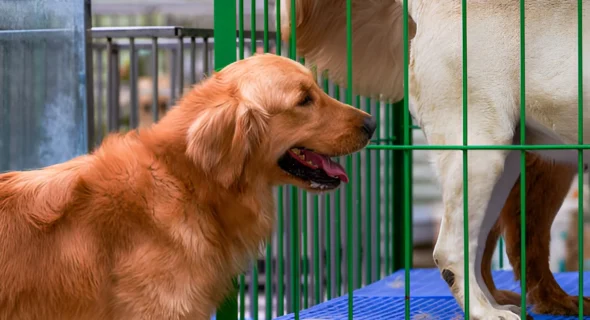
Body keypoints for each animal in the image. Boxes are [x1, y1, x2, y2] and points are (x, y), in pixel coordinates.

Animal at [280, 0, 590, 320]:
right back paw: (485, 311)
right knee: (451, 248)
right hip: (479, 154)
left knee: (476, 248)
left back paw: (494, 304)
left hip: (503, 164)